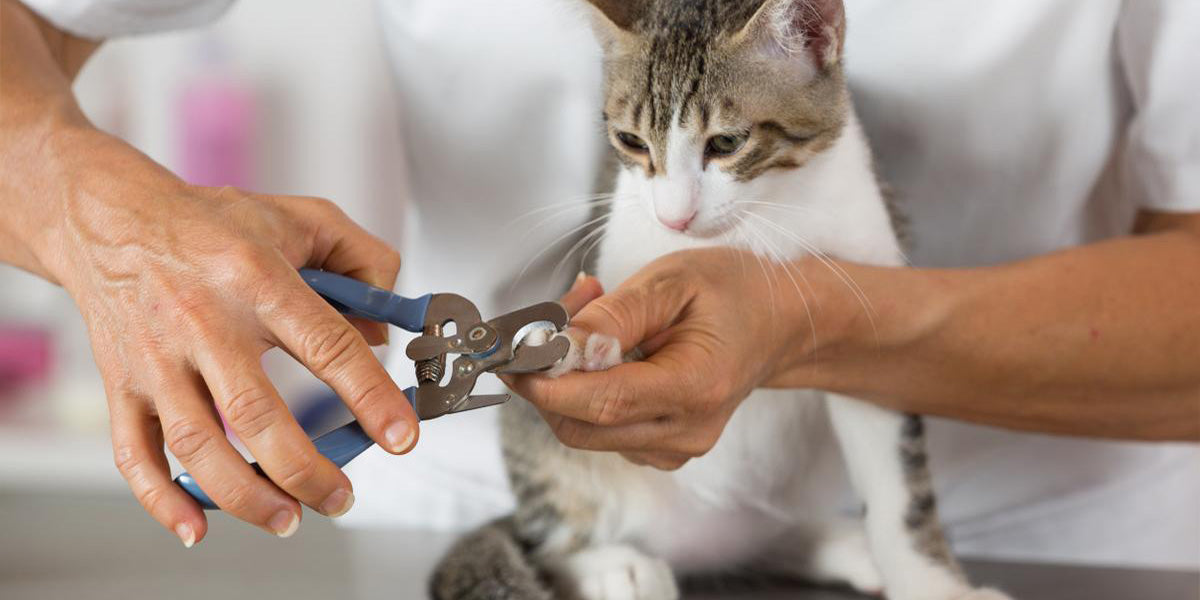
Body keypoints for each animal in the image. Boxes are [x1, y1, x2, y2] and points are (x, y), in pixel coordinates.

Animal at [432, 1, 1012, 600]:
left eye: (727, 144)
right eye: (632, 141)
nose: (673, 217)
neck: (758, 223)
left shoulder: (869, 292)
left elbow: (900, 487)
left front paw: (930, 581)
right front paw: (583, 344)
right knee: (546, 538)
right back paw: (611, 565)